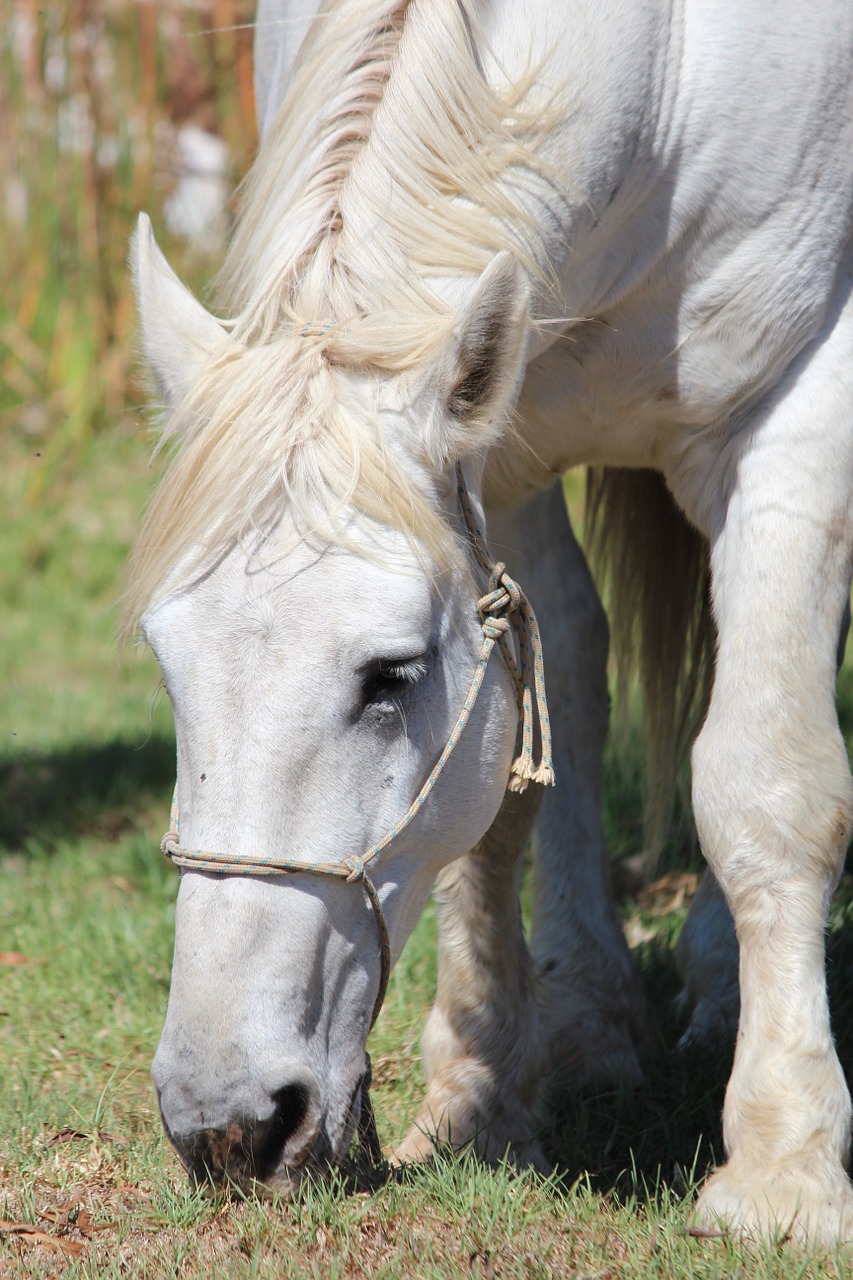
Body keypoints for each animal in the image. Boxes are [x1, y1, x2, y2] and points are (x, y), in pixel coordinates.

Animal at [126, 0, 850, 1244]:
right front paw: (488, 1086)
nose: (228, 1121)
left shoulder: (800, 406)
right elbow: (523, 760)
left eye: (388, 673)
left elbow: (768, 781)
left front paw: (783, 1166)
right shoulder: (499, 448)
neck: (665, 69)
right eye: (169, 668)